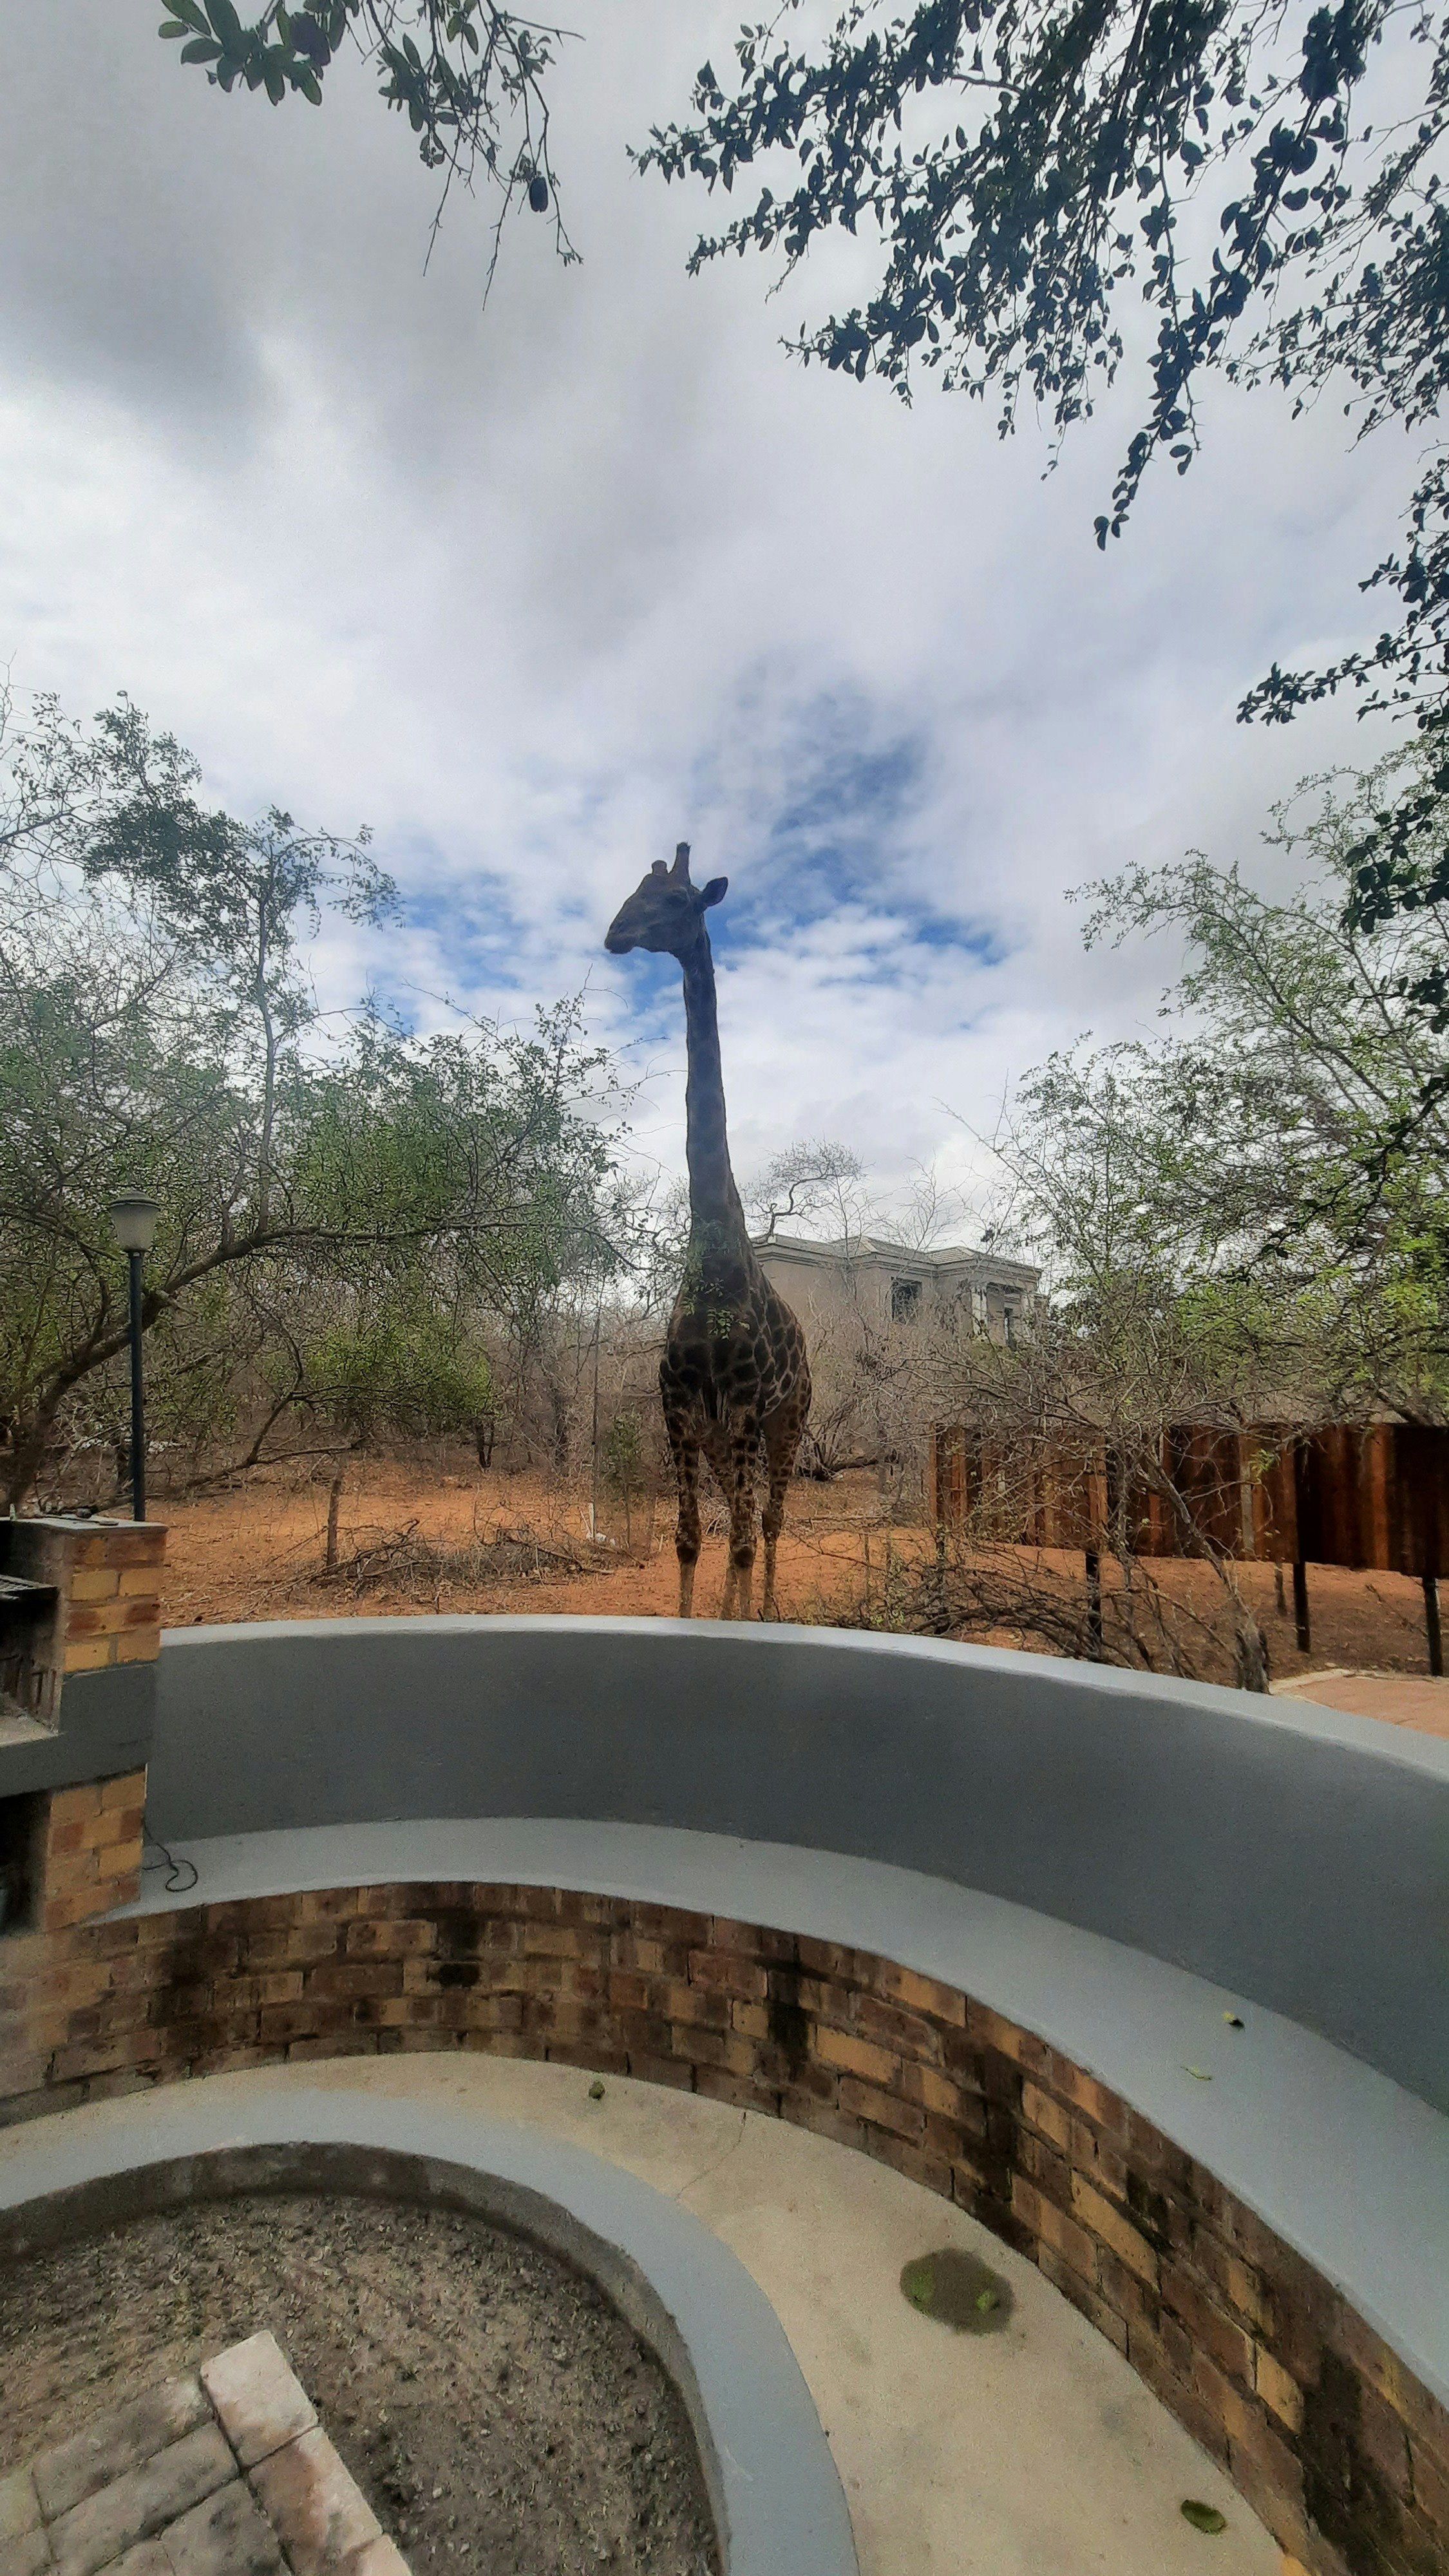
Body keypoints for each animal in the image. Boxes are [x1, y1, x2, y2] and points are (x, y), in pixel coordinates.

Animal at [605, 843, 812, 1620]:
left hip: (792, 1419)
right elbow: (691, 1539)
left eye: (676, 900)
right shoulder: (679, 1406)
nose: (616, 933)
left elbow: (744, 1537)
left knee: (769, 1521)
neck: (714, 1254)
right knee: (741, 1516)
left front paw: (740, 1622)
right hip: (727, 1435)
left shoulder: (750, 1407)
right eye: (635, 890)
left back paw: (766, 1610)